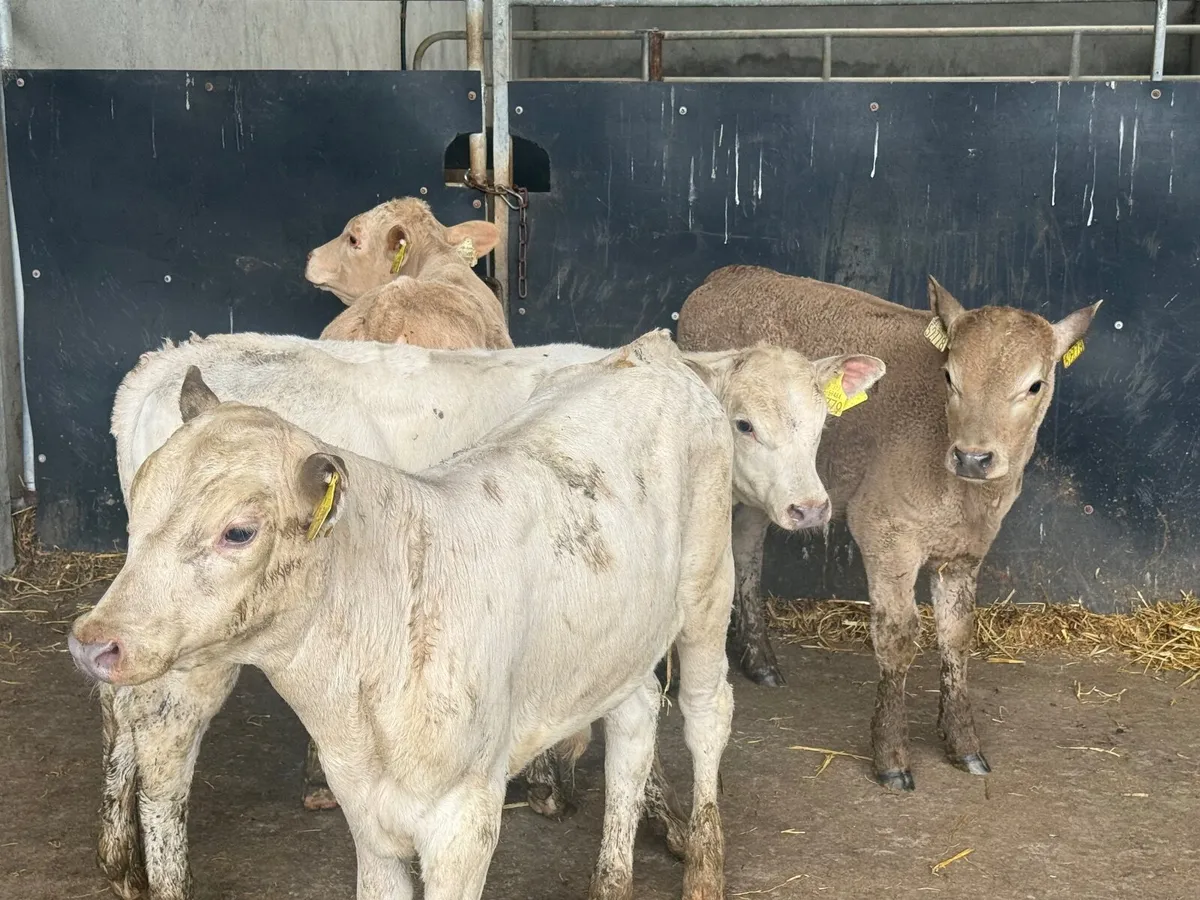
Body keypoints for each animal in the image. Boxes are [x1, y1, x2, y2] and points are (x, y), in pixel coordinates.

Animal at [94, 331, 883, 900]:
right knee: (162, 743)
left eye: (820, 425)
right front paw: (610, 803)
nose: (810, 508)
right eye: (744, 424)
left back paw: (118, 860)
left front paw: (574, 792)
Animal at [677, 266, 1100, 791]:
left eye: (1035, 385)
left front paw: (963, 743)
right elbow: (898, 638)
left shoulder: (967, 550)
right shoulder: (884, 528)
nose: (973, 457)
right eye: (949, 377)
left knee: (748, 545)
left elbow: (957, 636)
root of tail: (724, 276)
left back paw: (760, 658)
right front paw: (892, 755)